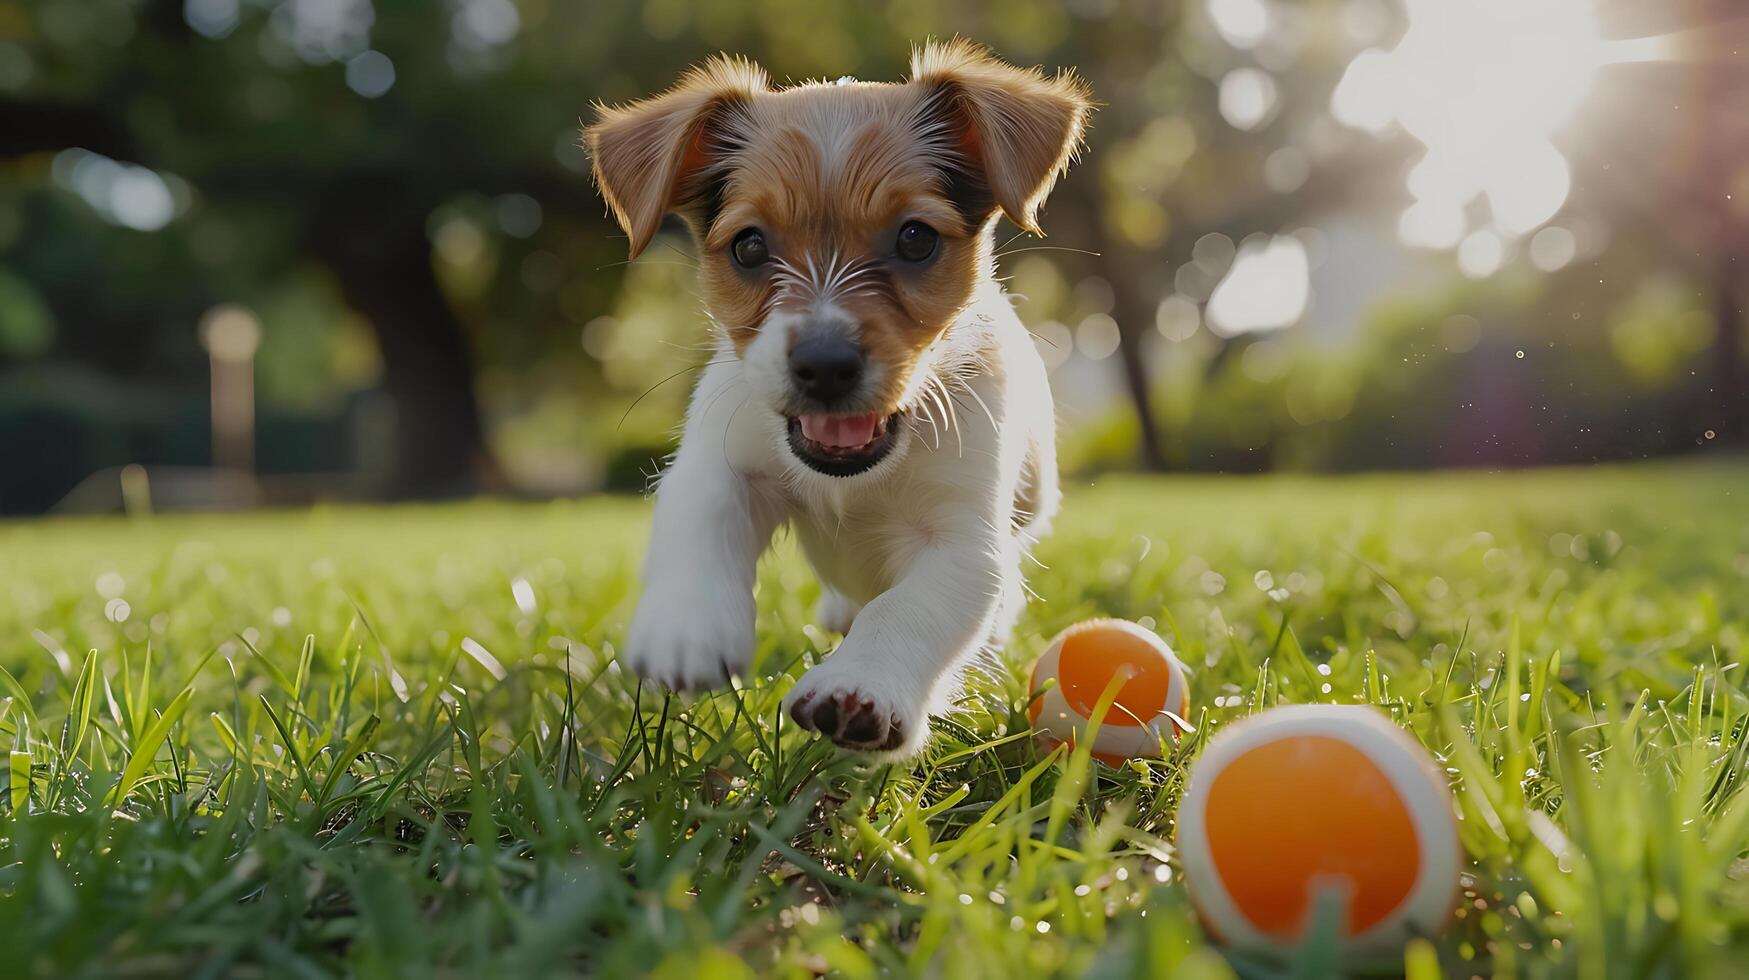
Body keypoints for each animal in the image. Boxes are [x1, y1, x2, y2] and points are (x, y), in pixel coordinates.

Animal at [587, 38, 1091, 759]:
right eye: (748, 246)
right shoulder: (721, 458)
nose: (825, 366)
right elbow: (701, 523)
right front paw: (689, 628)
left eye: (915, 238)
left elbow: (904, 608)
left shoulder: (963, 542)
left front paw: (861, 687)